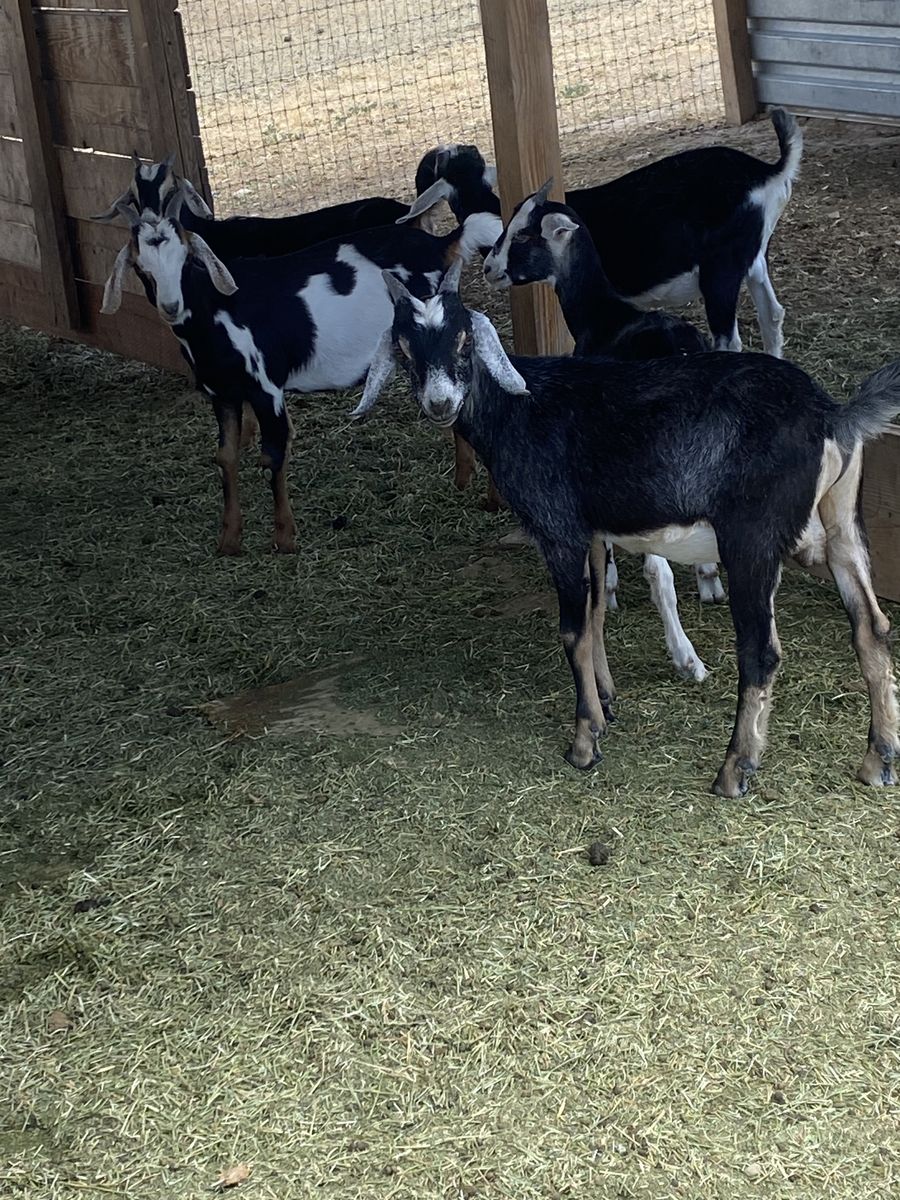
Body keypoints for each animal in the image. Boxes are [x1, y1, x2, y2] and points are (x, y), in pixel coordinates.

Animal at [100, 188, 501, 555]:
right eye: (141, 267)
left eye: (185, 261)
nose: (171, 306)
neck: (213, 310)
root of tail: (441, 244)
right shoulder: (223, 393)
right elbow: (226, 457)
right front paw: (229, 540)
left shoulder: (266, 388)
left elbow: (272, 455)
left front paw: (284, 539)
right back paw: (463, 478)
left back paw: (490, 498)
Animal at [352, 261, 899, 797]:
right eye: (404, 349)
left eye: (464, 338)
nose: (440, 403)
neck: (520, 408)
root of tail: (831, 415)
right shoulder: (594, 533)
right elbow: (596, 615)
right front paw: (605, 705)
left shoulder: (559, 530)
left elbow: (572, 629)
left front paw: (583, 744)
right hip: (841, 526)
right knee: (870, 627)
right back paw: (877, 760)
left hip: (752, 539)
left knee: (761, 651)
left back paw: (733, 770)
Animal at [415, 111, 802, 357]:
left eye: (522, 236)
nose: (490, 269)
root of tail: (768, 172)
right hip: (753, 258)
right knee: (772, 315)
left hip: (720, 270)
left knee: (730, 341)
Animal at [483, 177, 719, 682]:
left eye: (524, 235)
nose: (490, 267)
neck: (605, 317)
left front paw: (607, 587)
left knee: (659, 573)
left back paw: (687, 657)